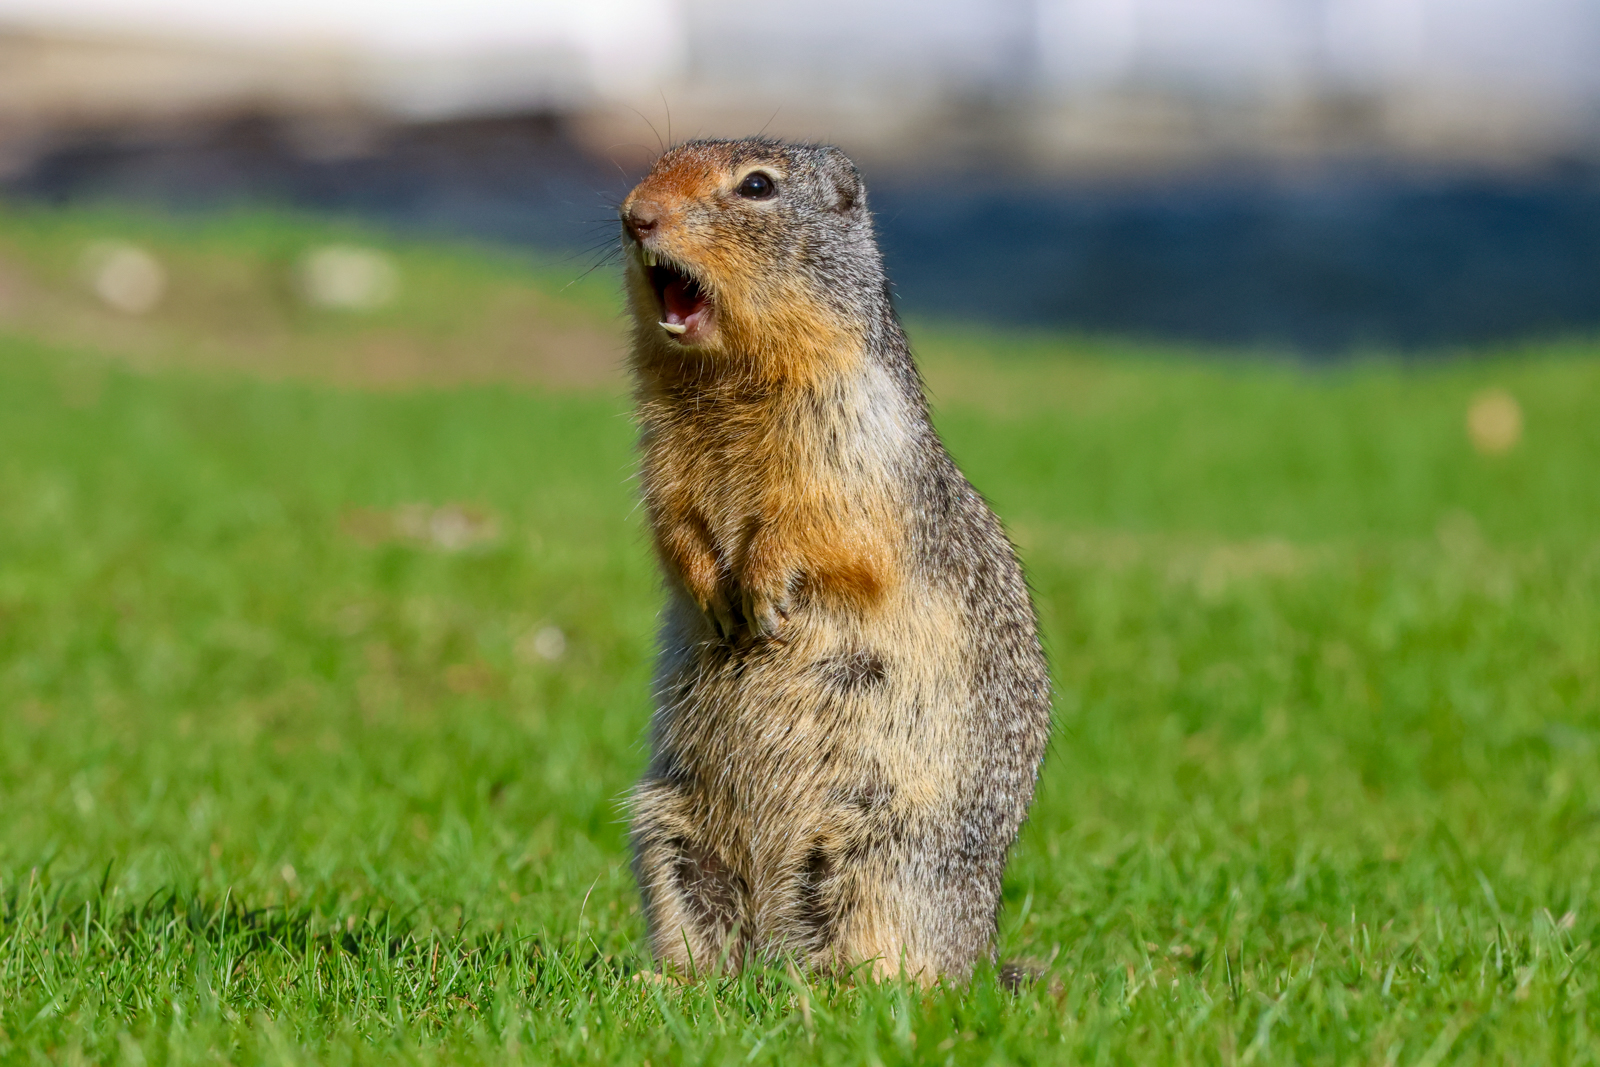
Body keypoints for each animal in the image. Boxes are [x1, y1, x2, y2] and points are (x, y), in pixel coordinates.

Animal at [619, 138, 1051, 984]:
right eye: (656, 162)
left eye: (757, 185)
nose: (634, 215)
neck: (723, 382)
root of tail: (980, 949)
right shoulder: (663, 457)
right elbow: (672, 522)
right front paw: (709, 590)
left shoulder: (853, 437)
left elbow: (825, 528)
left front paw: (758, 594)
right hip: (671, 832)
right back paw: (673, 977)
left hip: (882, 854)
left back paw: (834, 986)